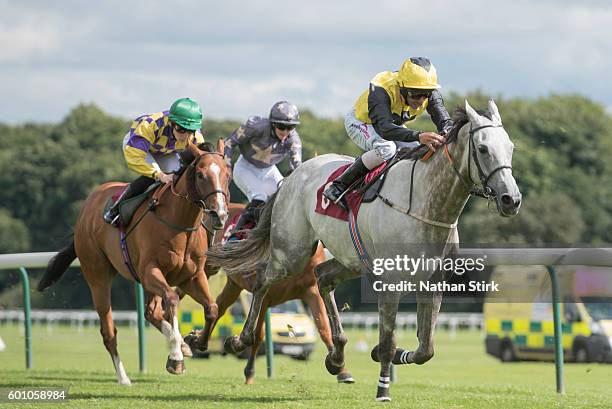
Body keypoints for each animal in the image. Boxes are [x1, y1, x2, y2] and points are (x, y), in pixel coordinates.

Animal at [38, 139, 230, 382]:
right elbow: (172, 300)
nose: (219, 214)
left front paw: (196, 341)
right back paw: (124, 378)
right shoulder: (150, 272)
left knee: (151, 312)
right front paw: (176, 358)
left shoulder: (192, 277)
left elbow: (212, 308)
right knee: (109, 331)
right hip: (98, 276)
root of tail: (87, 207)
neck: (180, 224)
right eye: (201, 175)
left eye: (227, 174)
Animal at [207, 99, 520, 402]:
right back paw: (239, 340)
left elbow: (425, 349)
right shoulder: (390, 283)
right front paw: (383, 390)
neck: (425, 204)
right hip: (292, 251)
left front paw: (386, 355)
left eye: (511, 148)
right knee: (262, 281)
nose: (511, 199)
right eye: (483, 148)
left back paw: (336, 357)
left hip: (350, 259)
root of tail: (293, 175)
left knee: (323, 277)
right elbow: (389, 340)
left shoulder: (432, 281)